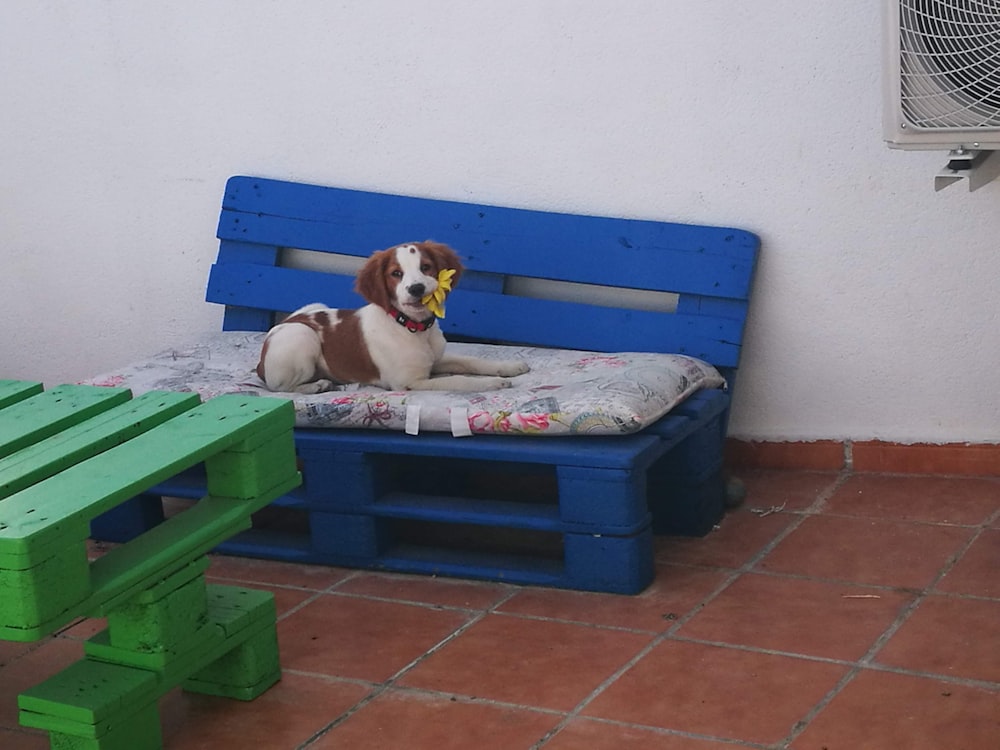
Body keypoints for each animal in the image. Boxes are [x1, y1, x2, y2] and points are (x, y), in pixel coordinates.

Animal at [254, 242, 528, 396]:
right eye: (396, 273)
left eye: (426, 267)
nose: (416, 288)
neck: (413, 327)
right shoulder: (409, 383)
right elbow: (458, 380)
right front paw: (494, 383)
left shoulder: (435, 360)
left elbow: (470, 361)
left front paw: (509, 368)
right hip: (302, 335)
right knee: (281, 388)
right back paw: (317, 386)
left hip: (314, 306)